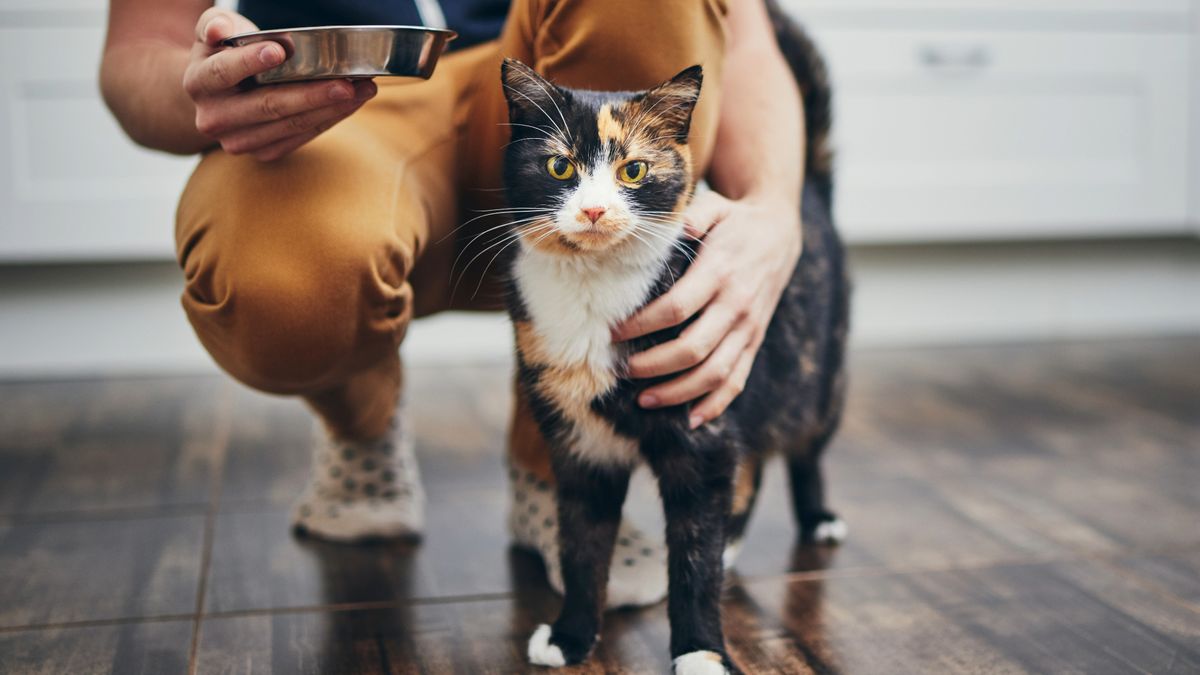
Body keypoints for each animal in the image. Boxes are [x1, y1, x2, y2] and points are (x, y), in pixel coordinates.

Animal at [496, 6, 844, 672]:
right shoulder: (580, 444)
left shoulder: (701, 434)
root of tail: (809, 193)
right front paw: (571, 635)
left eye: (633, 170)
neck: (593, 287)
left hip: (817, 374)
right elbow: (581, 546)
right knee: (752, 465)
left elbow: (692, 557)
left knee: (805, 448)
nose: (594, 211)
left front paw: (701, 650)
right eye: (559, 167)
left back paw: (817, 516)